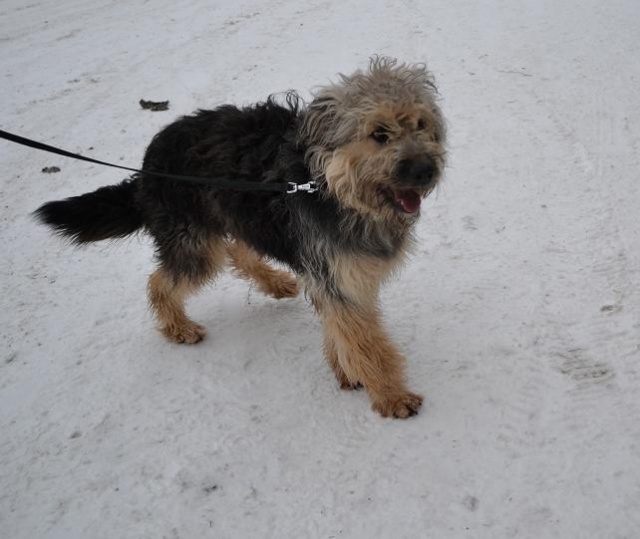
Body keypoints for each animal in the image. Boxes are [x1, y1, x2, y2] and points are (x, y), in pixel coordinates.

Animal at [35, 57, 446, 419]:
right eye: (379, 134)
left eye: (421, 124)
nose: (426, 170)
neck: (332, 188)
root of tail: (146, 165)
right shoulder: (337, 275)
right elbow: (366, 342)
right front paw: (392, 396)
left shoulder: (337, 275)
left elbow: (341, 329)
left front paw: (346, 370)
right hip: (194, 239)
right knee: (161, 281)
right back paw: (179, 327)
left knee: (238, 252)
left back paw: (277, 283)